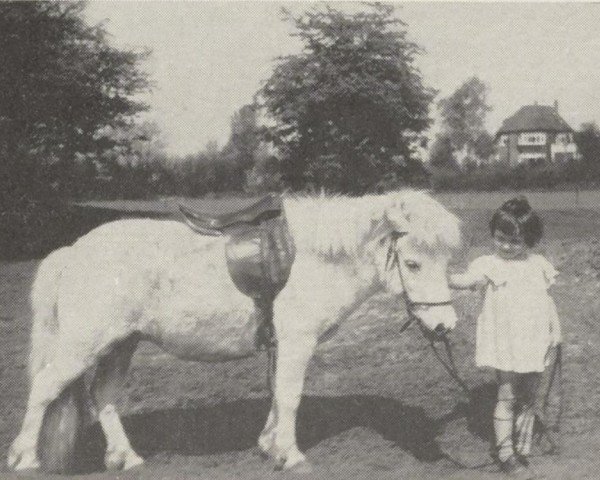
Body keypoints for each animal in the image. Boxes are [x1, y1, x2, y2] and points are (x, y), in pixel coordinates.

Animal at [8, 190, 460, 472]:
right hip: (83, 345)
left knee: (103, 397)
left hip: (121, 345)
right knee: (44, 388)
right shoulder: (297, 341)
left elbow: (277, 395)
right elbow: (290, 396)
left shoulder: (281, 345)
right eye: (413, 263)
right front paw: (290, 455)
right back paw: (25, 459)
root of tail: (73, 252)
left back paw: (126, 458)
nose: (444, 325)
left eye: (445, 260)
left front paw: (269, 445)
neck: (314, 257)